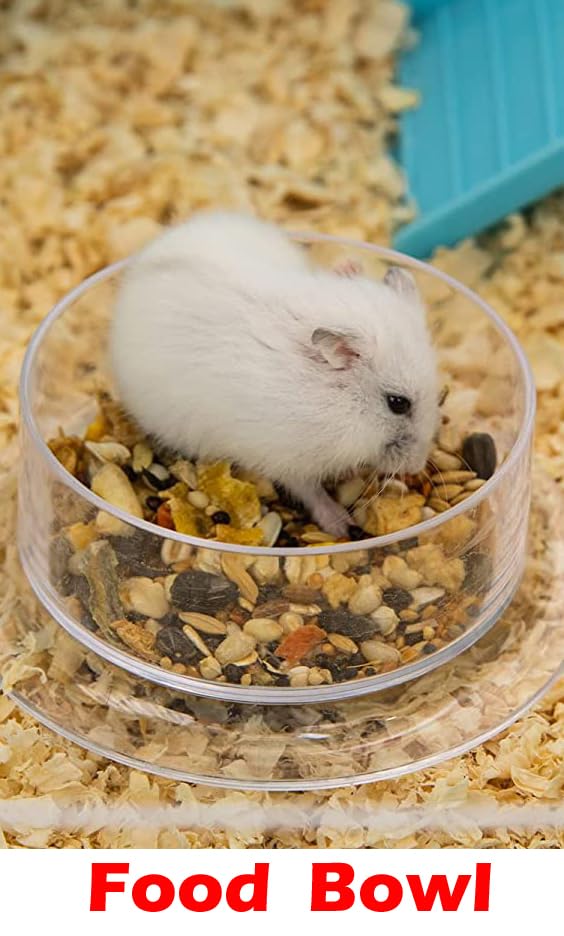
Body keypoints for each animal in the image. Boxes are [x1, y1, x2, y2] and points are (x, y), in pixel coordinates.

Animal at [110, 211, 439, 537]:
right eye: (398, 403)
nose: (417, 466)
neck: (338, 399)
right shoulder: (288, 459)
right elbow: (309, 490)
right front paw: (342, 526)